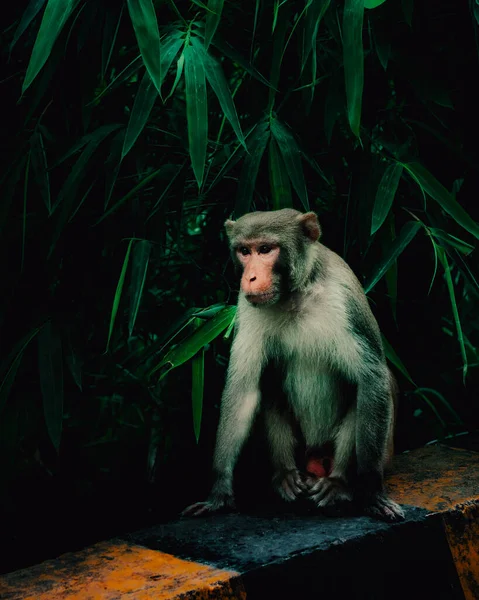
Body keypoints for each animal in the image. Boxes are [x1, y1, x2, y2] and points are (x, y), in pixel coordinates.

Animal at [184, 209, 404, 524]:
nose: (250, 277)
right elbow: (243, 389)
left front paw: (372, 493)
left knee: (366, 390)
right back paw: (285, 475)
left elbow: (372, 378)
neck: (297, 293)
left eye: (266, 249)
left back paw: (339, 483)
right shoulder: (247, 306)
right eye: (244, 251)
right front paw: (219, 492)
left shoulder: (344, 298)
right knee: (268, 384)